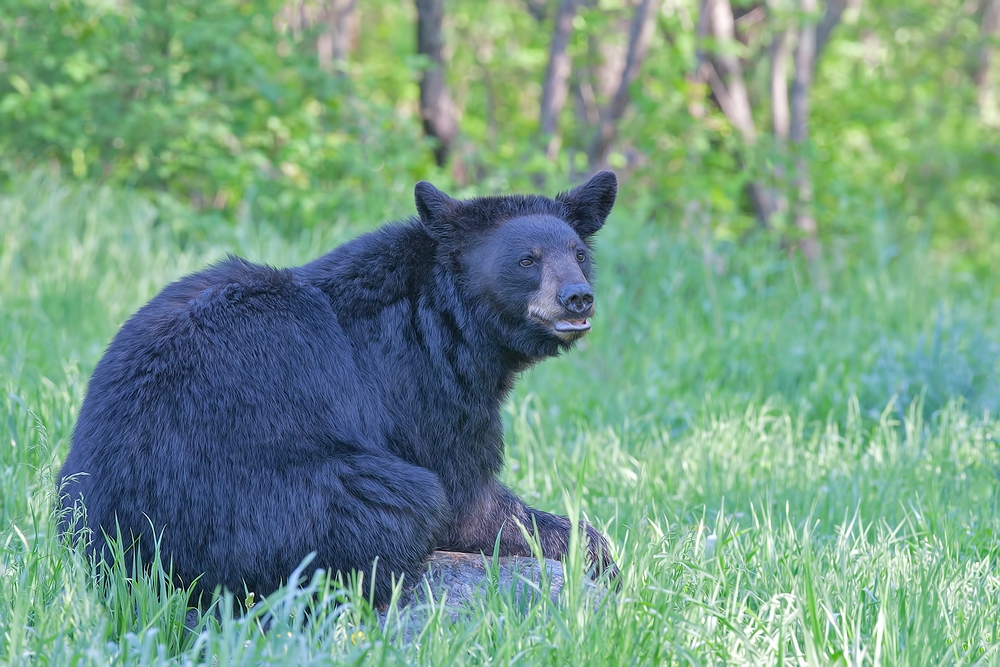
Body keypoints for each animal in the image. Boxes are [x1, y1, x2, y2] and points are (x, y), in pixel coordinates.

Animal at [58, 168, 620, 604]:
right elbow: (466, 494)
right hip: (270, 505)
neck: (448, 317)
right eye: (527, 259)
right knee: (398, 506)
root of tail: (108, 558)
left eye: (577, 253)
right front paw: (595, 553)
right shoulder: (421, 384)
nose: (577, 297)